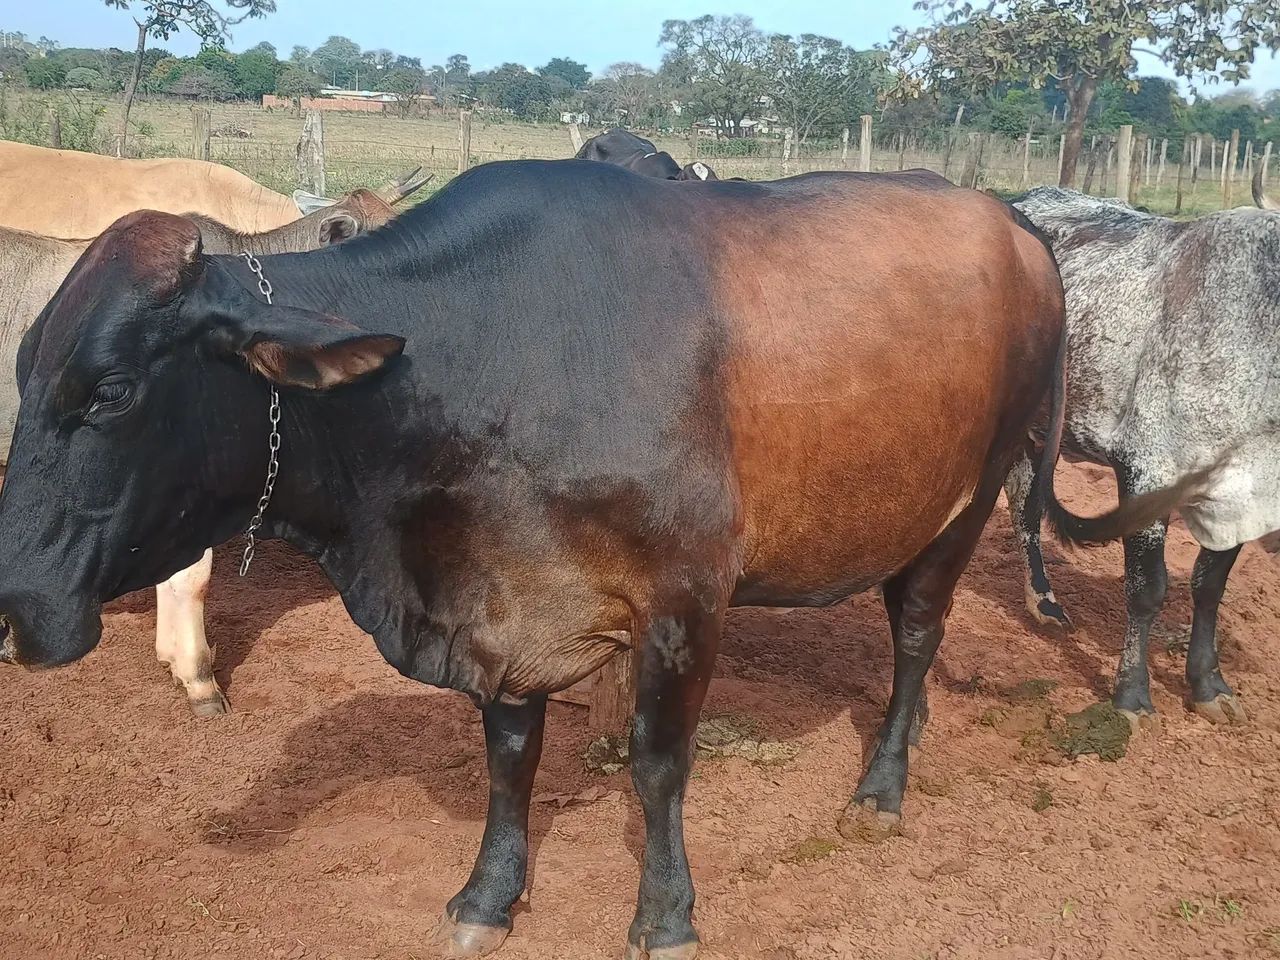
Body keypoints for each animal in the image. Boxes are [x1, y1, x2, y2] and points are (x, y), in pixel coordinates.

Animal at [1005, 185, 1279, 733]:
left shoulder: (1243, 493)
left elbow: (1209, 585)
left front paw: (1208, 684)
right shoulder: (1148, 469)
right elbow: (1147, 588)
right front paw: (1131, 695)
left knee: (1024, 502)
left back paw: (1042, 602)